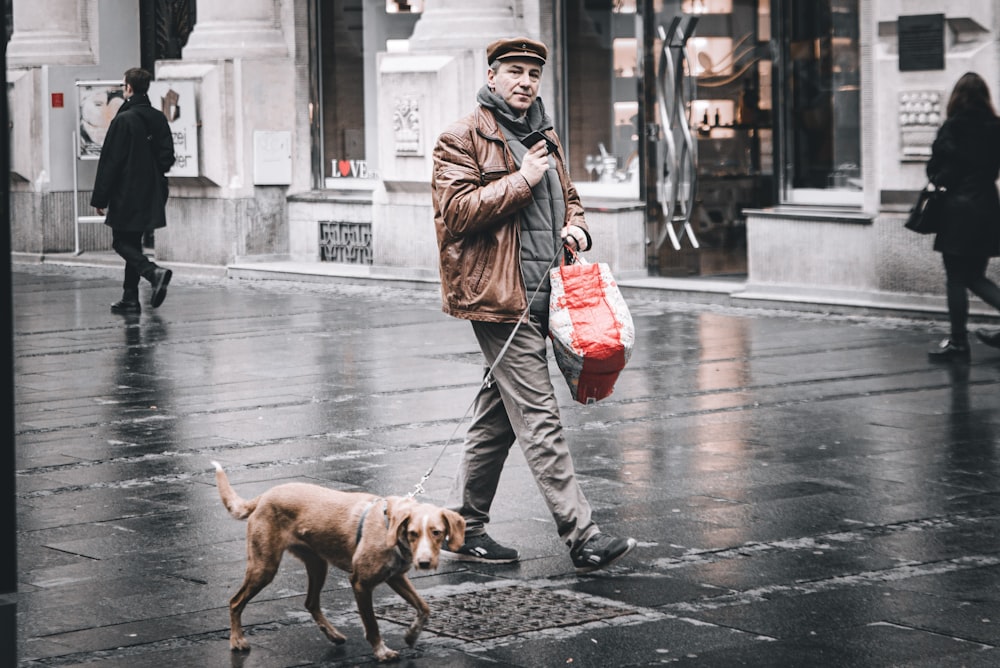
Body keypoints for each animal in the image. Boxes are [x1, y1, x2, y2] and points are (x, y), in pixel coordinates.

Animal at [213, 462, 466, 660]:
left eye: (437, 532)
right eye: (413, 533)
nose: (424, 563)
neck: (390, 527)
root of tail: (264, 497)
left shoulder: (396, 577)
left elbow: (424, 608)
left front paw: (412, 635)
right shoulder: (360, 583)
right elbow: (372, 624)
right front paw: (381, 651)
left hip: (317, 565)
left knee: (311, 603)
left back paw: (333, 635)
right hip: (264, 567)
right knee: (235, 602)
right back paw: (237, 640)